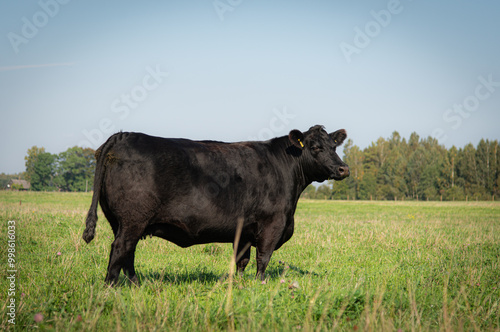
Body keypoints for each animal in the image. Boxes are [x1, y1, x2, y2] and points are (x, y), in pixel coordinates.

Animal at [82, 126, 350, 284]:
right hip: (133, 219)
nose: (343, 169)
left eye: (334, 147)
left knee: (128, 252)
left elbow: (241, 260)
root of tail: (123, 134)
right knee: (120, 249)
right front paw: (260, 285)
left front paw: (238, 286)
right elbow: (263, 259)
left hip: (121, 221)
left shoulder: (244, 230)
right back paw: (112, 286)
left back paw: (136, 284)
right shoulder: (272, 224)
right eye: (315, 147)